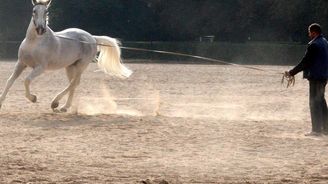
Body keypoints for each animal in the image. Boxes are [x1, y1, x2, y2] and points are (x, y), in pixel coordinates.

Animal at [0, 0, 132, 112]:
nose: (40, 29)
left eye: (46, 12)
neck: (34, 42)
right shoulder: (21, 63)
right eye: (34, 11)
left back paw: (56, 103)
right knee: (74, 84)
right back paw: (65, 107)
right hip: (70, 67)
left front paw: (33, 98)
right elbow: (9, 81)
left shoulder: (40, 67)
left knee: (73, 83)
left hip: (81, 65)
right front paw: (1, 102)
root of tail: (92, 38)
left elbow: (27, 80)